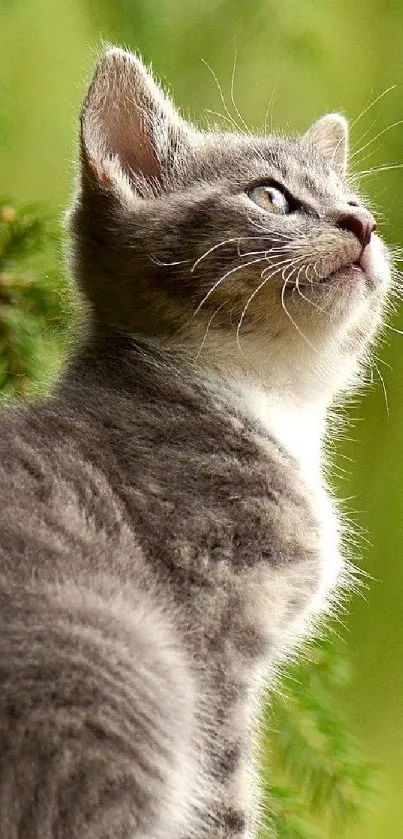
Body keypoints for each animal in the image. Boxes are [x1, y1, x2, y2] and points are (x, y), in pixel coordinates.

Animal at [0, 47, 392, 839]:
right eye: (271, 196)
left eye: (355, 199)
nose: (362, 222)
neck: (267, 402)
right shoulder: (212, 637)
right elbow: (224, 795)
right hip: (122, 668)